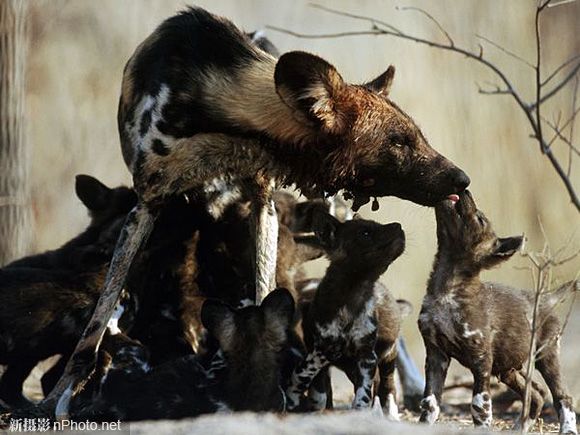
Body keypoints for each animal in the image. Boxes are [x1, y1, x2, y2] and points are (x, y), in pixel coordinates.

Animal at [284, 211, 404, 412]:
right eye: (365, 233)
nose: (399, 225)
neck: (352, 297)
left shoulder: (366, 356)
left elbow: (364, 394)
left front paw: (360, 411)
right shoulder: (319, 351)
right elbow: (307, 381)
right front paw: (297, 402)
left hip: (387, 357)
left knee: (387, 388)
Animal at [420, 192, 576, 435]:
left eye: (480, 219)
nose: (466, 192)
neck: (447, 288)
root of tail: (547, 298)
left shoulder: (481, 359)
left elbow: (479, 407)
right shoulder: (436, 354)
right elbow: (430, 403)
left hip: (546, 356)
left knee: (563, 397)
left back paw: (567, 429)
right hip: (508, 369)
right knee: (537, 394)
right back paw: (520, 427)